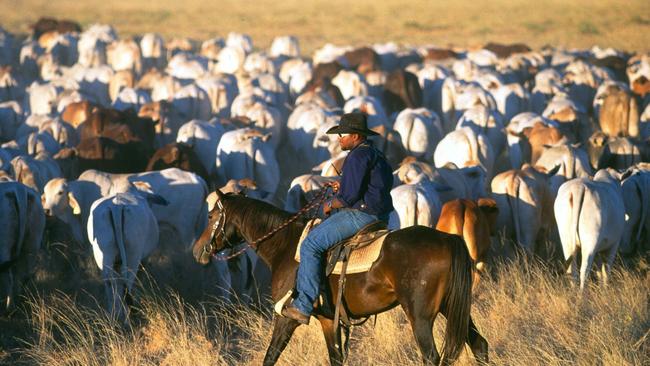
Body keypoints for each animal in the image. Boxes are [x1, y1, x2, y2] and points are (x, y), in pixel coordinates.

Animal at [192, 192, 486, 366]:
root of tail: (447, 240)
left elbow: (271, 355)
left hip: (421, 316)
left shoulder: (287, 317)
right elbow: (335, 358)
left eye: (211, 215)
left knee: (432, 356)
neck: (286, 247)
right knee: (479, 344)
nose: (197, 250)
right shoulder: (327, 320)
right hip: (453, 308)